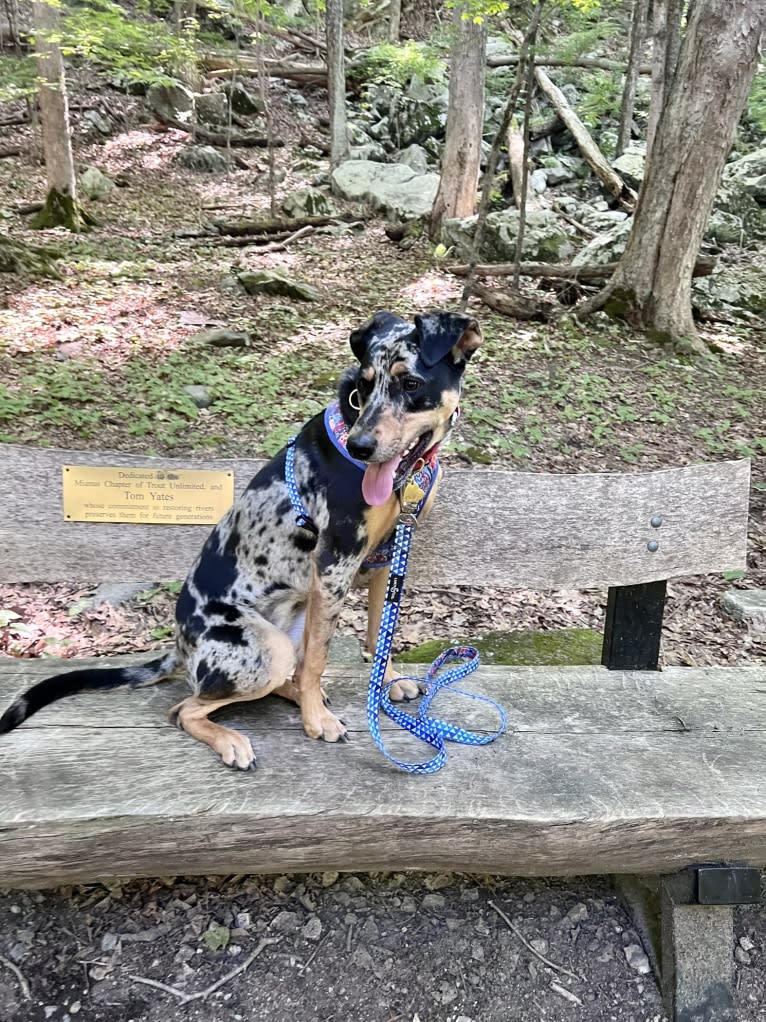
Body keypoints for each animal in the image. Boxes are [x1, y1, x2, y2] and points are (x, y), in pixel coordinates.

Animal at [0, 308, 480, 768]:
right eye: (364, 385)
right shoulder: (335, 565)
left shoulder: (388, 553)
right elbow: (320, 659)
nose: (360, 446)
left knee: (283, 676)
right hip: (269, 648)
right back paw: (237, 738)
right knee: (190, 707)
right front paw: (317, 722)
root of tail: (181, 646)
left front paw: (389, 681)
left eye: (411, 383)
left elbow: (381, 630)